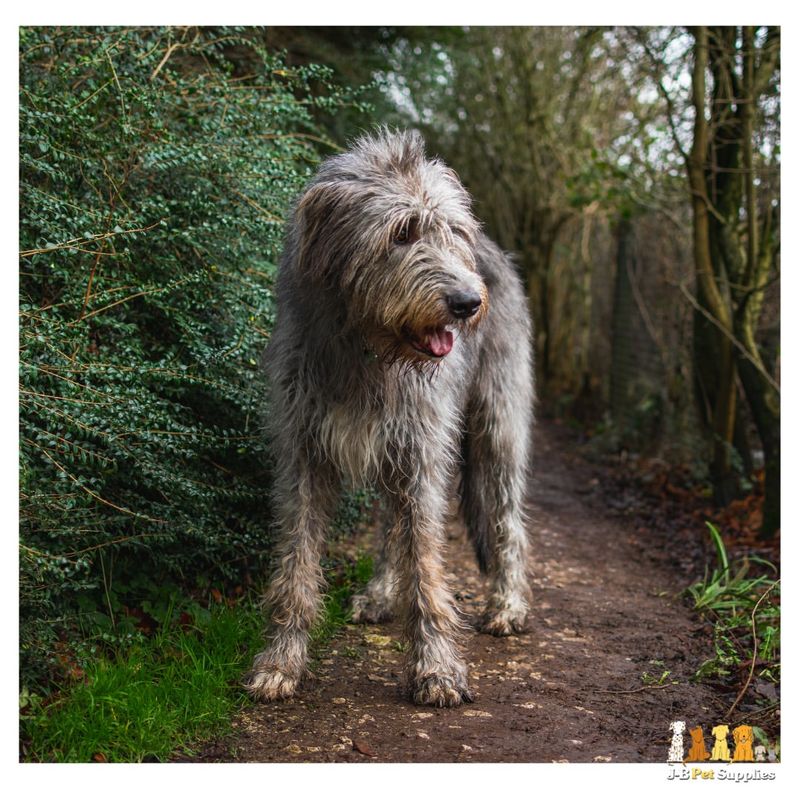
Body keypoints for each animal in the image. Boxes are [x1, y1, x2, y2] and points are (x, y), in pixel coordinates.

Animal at [244, 126, 532, 708]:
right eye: (401, 233)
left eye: (452, 232)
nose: (467, 302)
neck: (367, 350)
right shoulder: (302, 452)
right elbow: (296, 563)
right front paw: (282, 660)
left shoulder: (421, 449)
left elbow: (426, 562)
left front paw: (437, 668)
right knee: (387, 523)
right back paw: (381, 592)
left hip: (499, 425)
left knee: (507, 517)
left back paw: (508, 605)